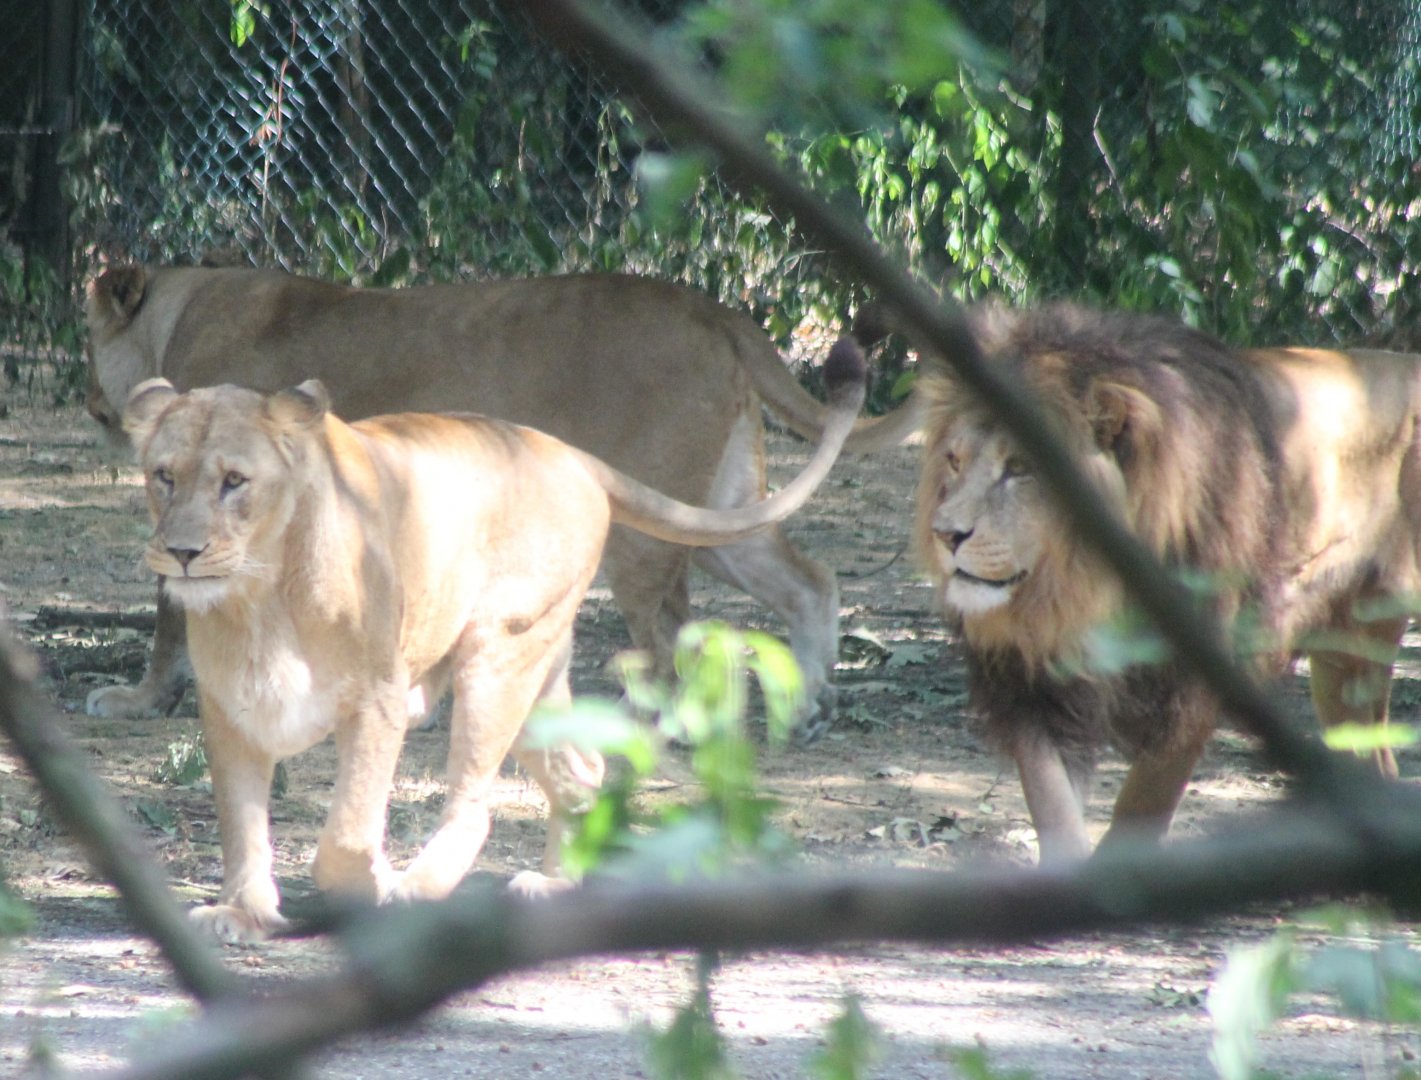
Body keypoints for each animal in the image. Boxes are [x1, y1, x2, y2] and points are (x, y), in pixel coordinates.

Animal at [83, 264, 923, 729]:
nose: (92, 401)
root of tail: (716, 310)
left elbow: (173, 612)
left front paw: (142, 700)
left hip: (638, 527)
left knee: (663, 645)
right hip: (714, 513)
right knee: (808, 581)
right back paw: (812, 708)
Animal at [122, 338, 864, 942]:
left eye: (234, 482)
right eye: (164, 475)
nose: (182, 553)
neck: (260, 596)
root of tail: (574, 456)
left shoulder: (377, 697)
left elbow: (348, 831)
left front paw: (372, 882)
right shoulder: (232, 710)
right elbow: (242, 823)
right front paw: (242, 912)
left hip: (499, 652)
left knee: (475, 803)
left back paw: (419, 890)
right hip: (538, 674)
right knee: (581, 772)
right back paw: (556, 883)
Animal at [912, 302, 1421, 863]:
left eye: (1021, 467)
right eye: (954, 460)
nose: (944, 534)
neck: (1086, 586)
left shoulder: (1193, 678)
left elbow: (1143, 801)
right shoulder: (1035, 680)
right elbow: (1051, 799)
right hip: (1341, 657)